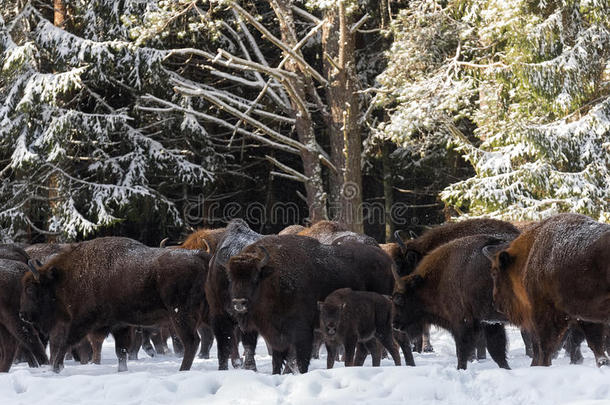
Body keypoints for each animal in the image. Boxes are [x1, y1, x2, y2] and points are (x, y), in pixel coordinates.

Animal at [19, 237, 209, 372]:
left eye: (30, 289)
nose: (23, 315)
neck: (65, 277)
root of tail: (200, 255)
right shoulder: (120, 325)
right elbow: (121, 351)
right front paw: (122, 370)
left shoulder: (82, 321)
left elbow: (67, 342)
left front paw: (55, 368)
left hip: (180, 314)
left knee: (192, 341)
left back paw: (182, 370)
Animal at [390, 234, 508, 370]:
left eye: (399, 298)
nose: (394, 324)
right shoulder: (491, 323)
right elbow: (498, 353)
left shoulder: (462, 323)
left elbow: (462, 353)